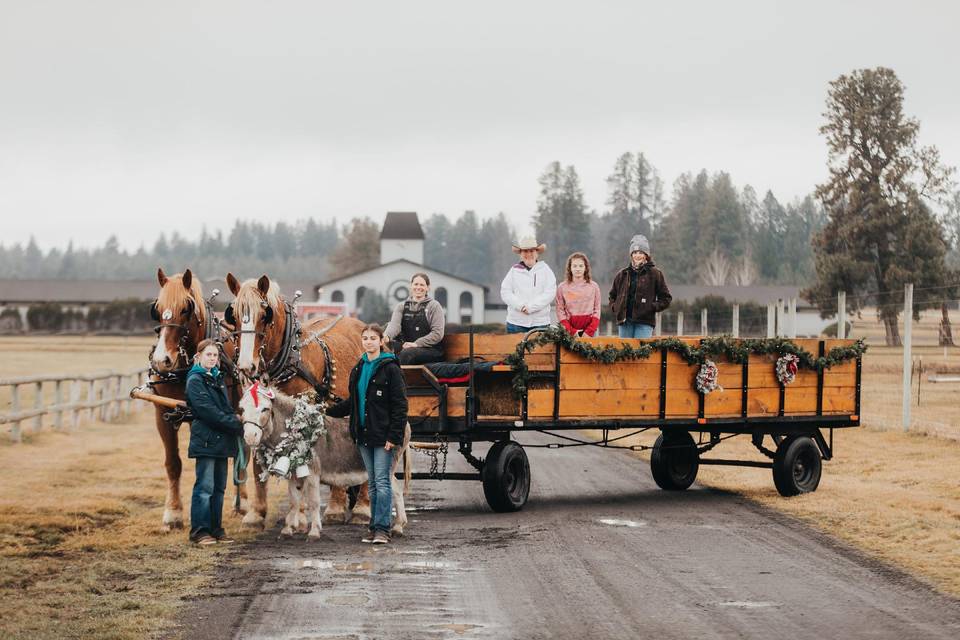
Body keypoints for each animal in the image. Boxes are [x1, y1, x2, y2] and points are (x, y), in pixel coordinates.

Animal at [227, 272, 374, 528]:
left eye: (264, 315)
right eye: (233, 315)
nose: (246, 365)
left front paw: (302, 513)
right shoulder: (257, 413)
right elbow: (257, 464)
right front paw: (256, 513)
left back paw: (360, 508)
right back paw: (337, 506)